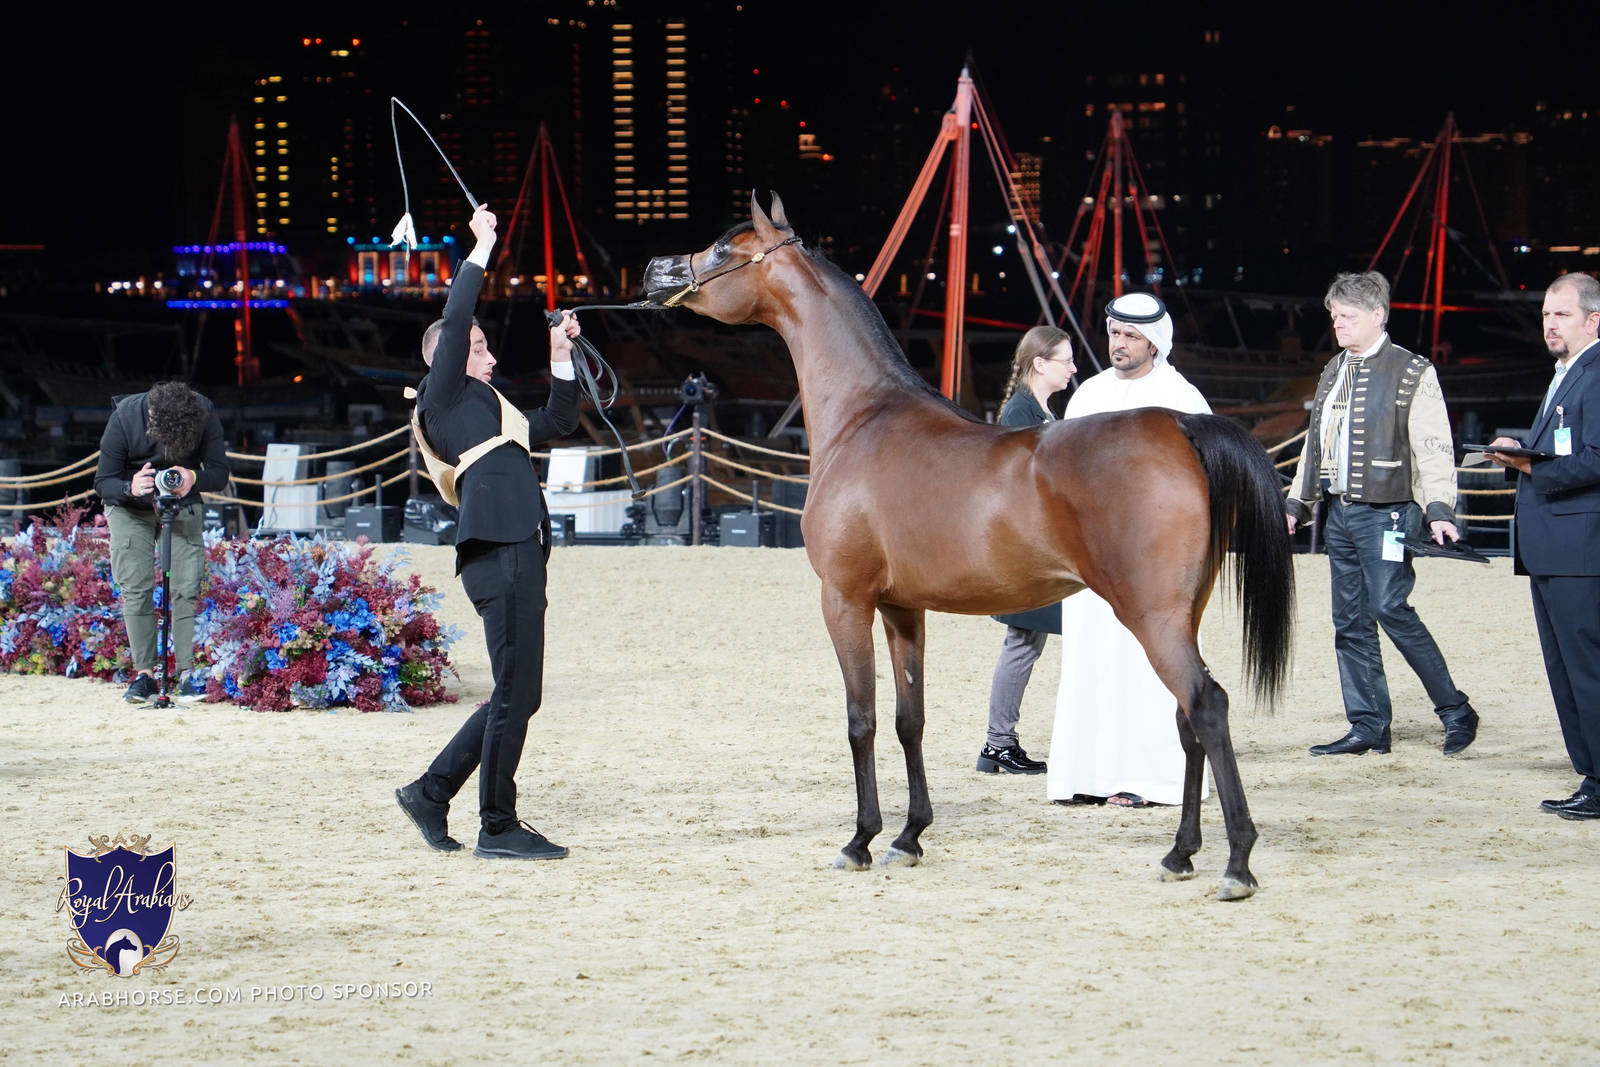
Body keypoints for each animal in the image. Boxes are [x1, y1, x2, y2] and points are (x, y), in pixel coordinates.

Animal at [642, 193, 1294, 901]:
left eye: (723, 250)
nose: (656, 272)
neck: (864, 418)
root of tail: (1179, 423)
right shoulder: (903, 609)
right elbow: (910, 719)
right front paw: (909, 836)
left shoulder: (844, 599)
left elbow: (861, 719)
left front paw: (860, 840)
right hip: (1180, 615)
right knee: (1184, 719)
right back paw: (1180, 853)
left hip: (1153, 617)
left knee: (1207, 706)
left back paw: (1236, 864)